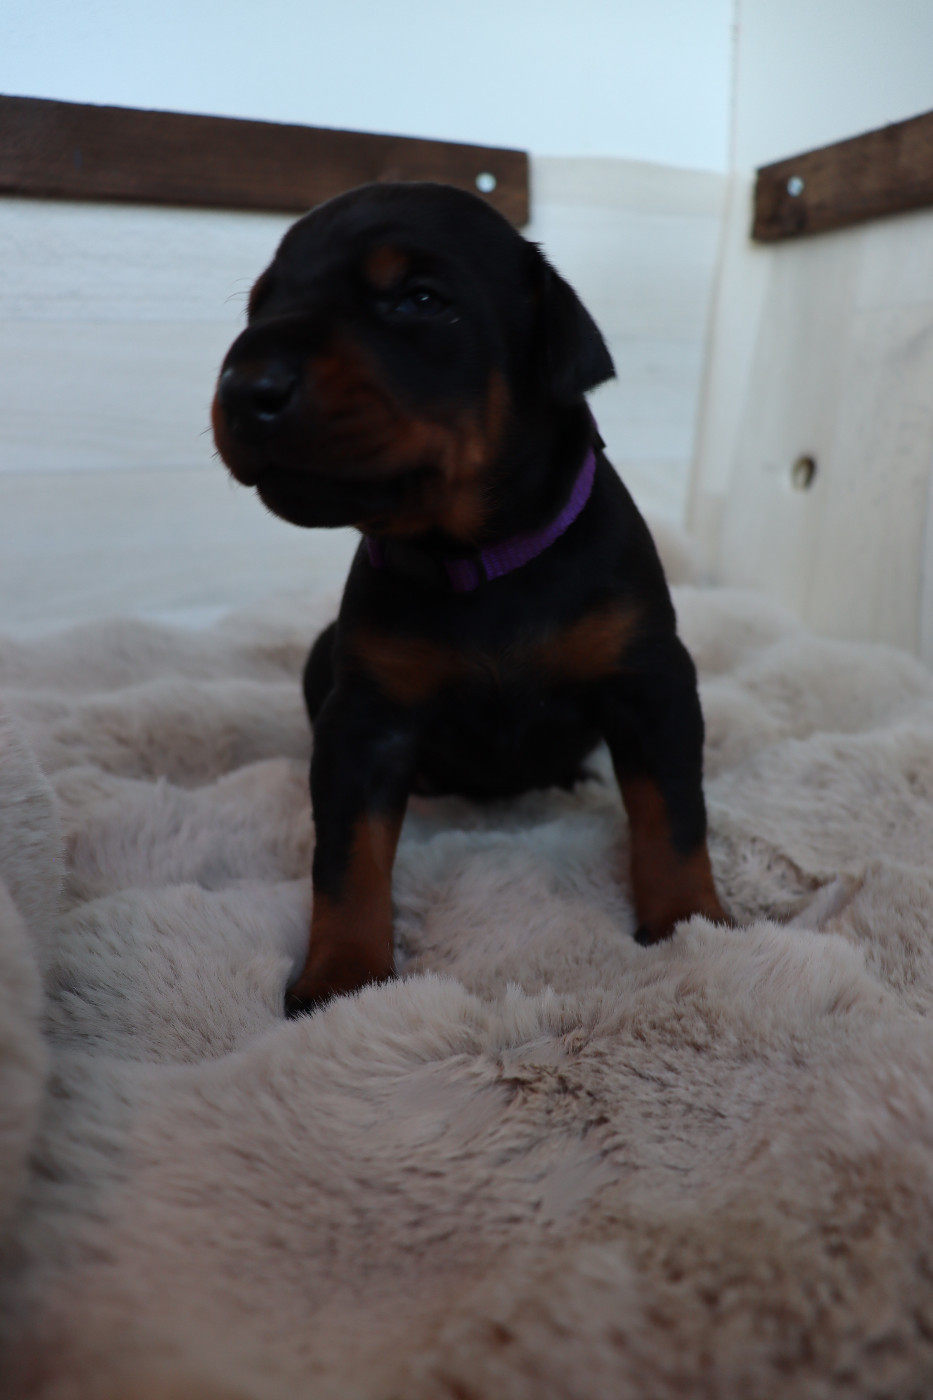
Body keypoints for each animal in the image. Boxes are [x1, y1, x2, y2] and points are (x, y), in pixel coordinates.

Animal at [212, 181, 728, 1015]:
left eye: (421, 300)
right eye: (260, 306)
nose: (242, 386)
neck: (477, 558)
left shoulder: (651, 682)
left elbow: (674, 816)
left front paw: (690, 925)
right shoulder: (366, 720)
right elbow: (346, 859)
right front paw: (342, 979)